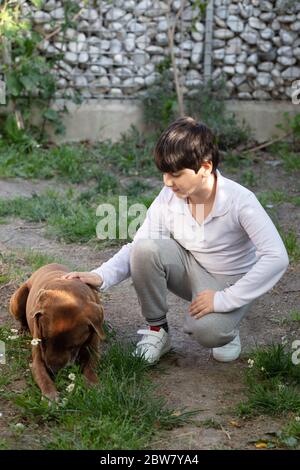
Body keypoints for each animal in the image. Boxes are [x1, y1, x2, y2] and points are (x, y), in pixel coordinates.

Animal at [9, 262, 105, 398]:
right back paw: (23, 330)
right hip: (18, 298)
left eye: (73, 346)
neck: (69, 292)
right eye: (44, 339)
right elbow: (42, 375)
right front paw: (50, 394)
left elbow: (90, 367)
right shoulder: (37, 358)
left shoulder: (93, 349)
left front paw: (93, 384)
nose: (53, 371)